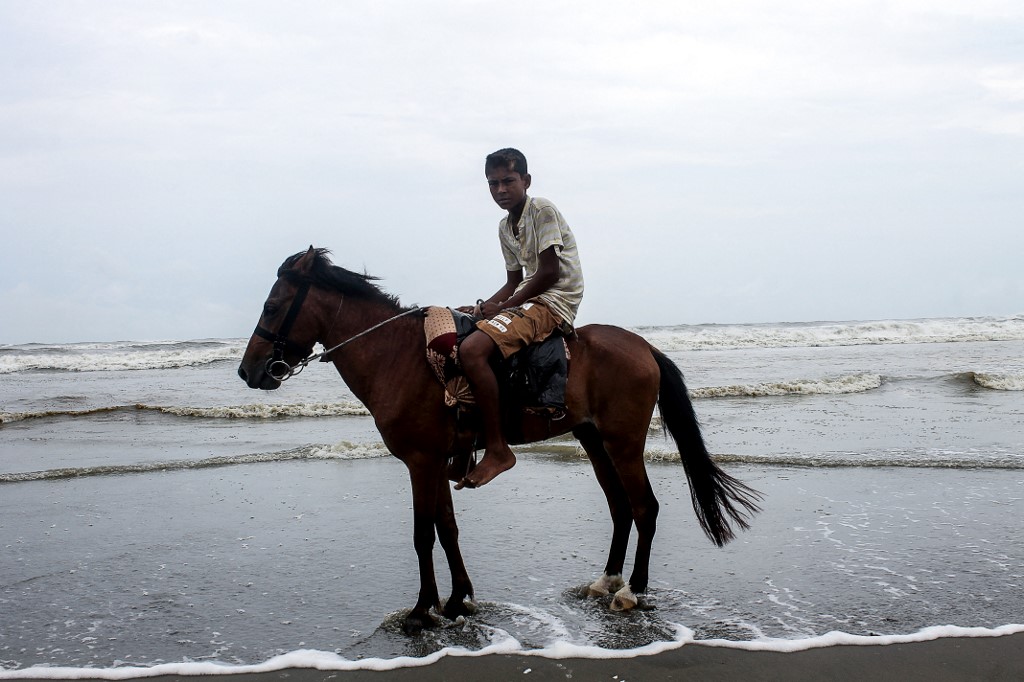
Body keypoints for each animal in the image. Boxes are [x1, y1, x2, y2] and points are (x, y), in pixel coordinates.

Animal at [237, 247, 761, 634]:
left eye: (271, 306)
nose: (248, 371)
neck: (398, 357)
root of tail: (643, 346)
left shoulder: (421, 462)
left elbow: (423, 535)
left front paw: (422, 610)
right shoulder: (437, 462)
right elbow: (447, 530)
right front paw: (456, 600)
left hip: (623, 441)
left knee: (644, 507)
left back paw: (633, 590)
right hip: (593, 440)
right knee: (619, 507)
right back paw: (607, 580)